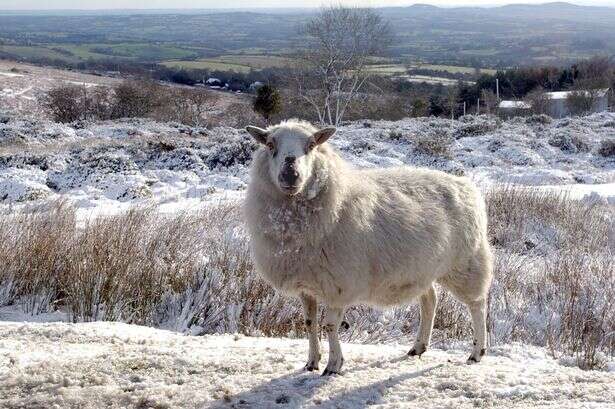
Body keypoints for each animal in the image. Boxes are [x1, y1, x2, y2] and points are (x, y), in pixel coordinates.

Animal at [243, 119, 494, 374]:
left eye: (312, 144)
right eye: (270, 144)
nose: (290, 175)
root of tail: (466, 184)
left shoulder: (339, 284)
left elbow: (330, 325)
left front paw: (334, 365)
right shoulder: (307, 284)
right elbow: (309, 323)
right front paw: (312, 362)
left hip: (466, 262)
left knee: (478, 304)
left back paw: (477, 352)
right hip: (420, 268)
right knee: (430, 300)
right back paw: (418, 347)